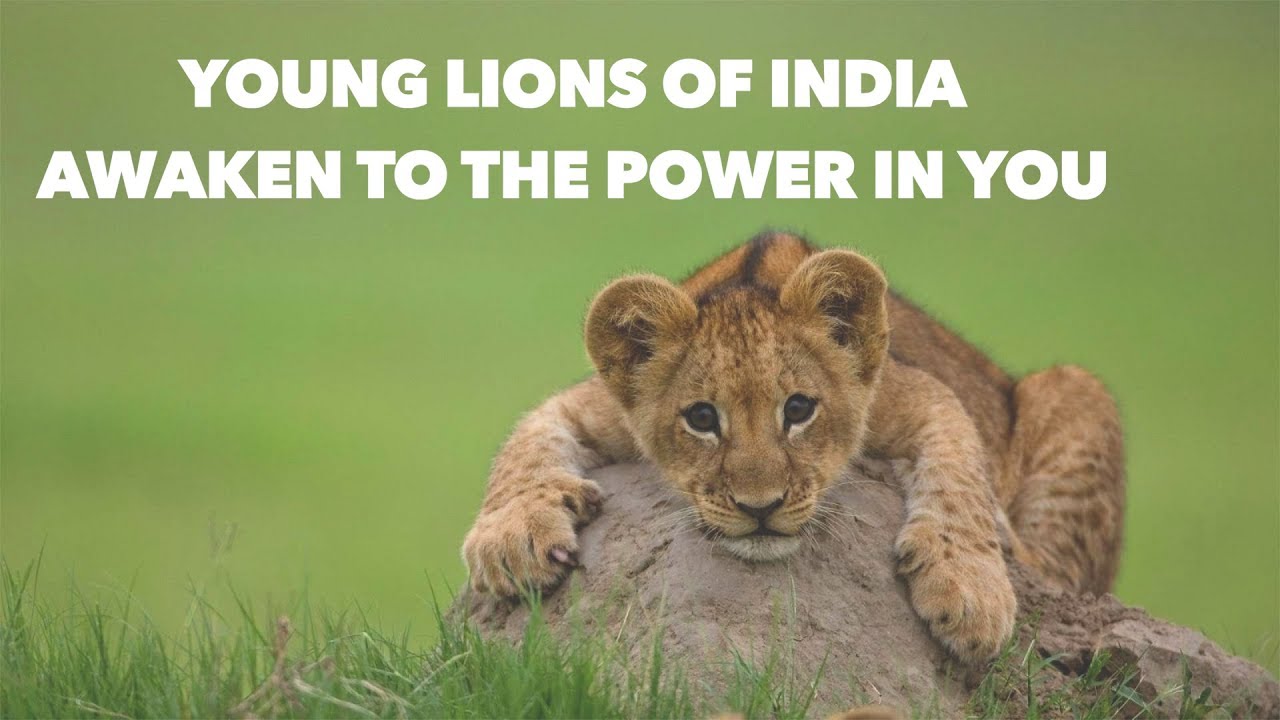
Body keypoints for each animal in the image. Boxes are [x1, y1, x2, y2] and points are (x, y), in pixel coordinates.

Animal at [461, 232, 1125, 663]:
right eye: (702, 417)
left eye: (800, 409)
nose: (761, 508)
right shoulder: (591, 404)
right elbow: (525, 443)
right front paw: (511, 539)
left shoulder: (919, 391)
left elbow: (960, 471)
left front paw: (969, 589)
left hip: (1077, 388)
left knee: (1061, 573)